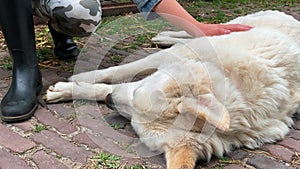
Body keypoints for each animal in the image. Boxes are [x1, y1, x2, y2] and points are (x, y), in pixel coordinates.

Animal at [45, 10, 300, 169]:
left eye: (133, 124)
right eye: (137, 93)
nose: (109, 101)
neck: (224, 76)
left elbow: (111, 85)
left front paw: (73, 89)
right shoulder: (167, 58)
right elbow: (118, 72)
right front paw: (78, 80)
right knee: (194, 31)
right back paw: (165, 35)